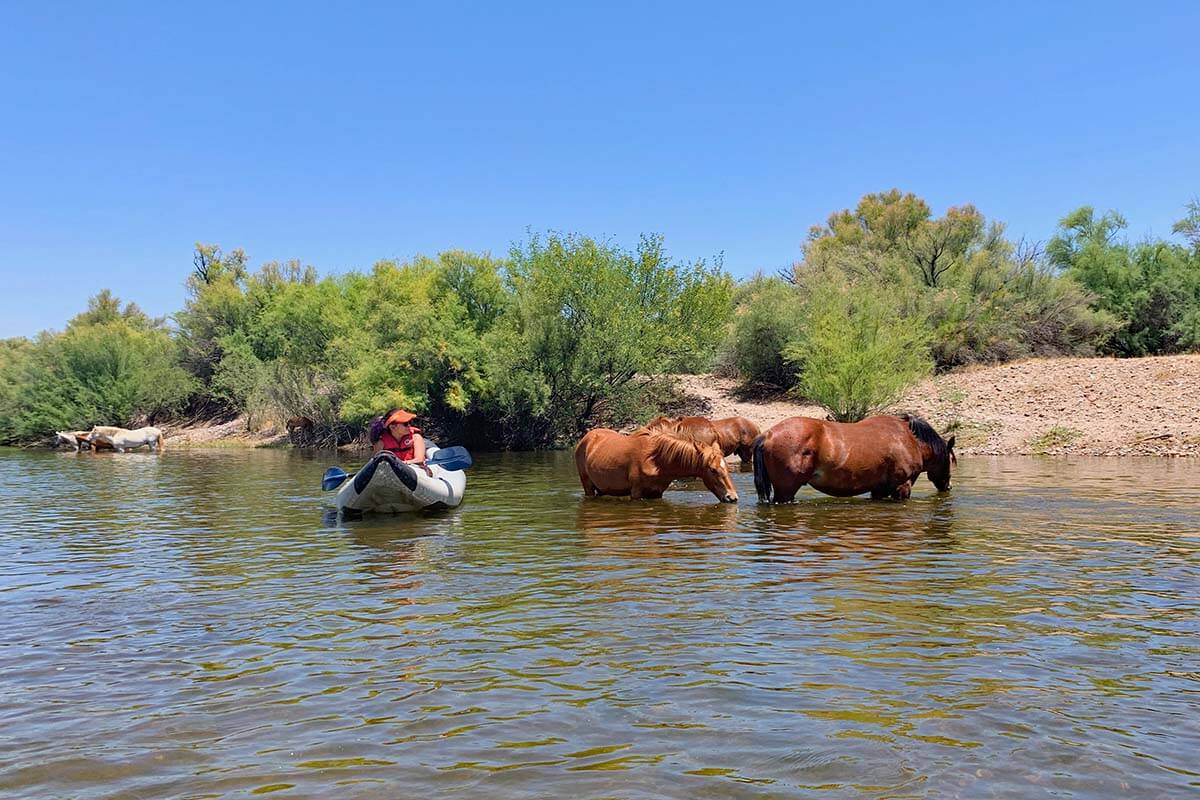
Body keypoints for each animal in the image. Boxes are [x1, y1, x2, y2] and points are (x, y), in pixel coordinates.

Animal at [573, 429, 734, 503]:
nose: (732, 497)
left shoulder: (657, 493)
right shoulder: (636, 492)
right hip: (587, 485)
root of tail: (586, 438)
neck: (657, 462)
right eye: (713, 470)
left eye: (726, 467)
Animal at [748, 417, 955, 503]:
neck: (908, 439)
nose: (948, 486)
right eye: (951, 461)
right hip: (786, 491)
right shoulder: (902, 487)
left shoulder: (879, 490)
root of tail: (768, 434)